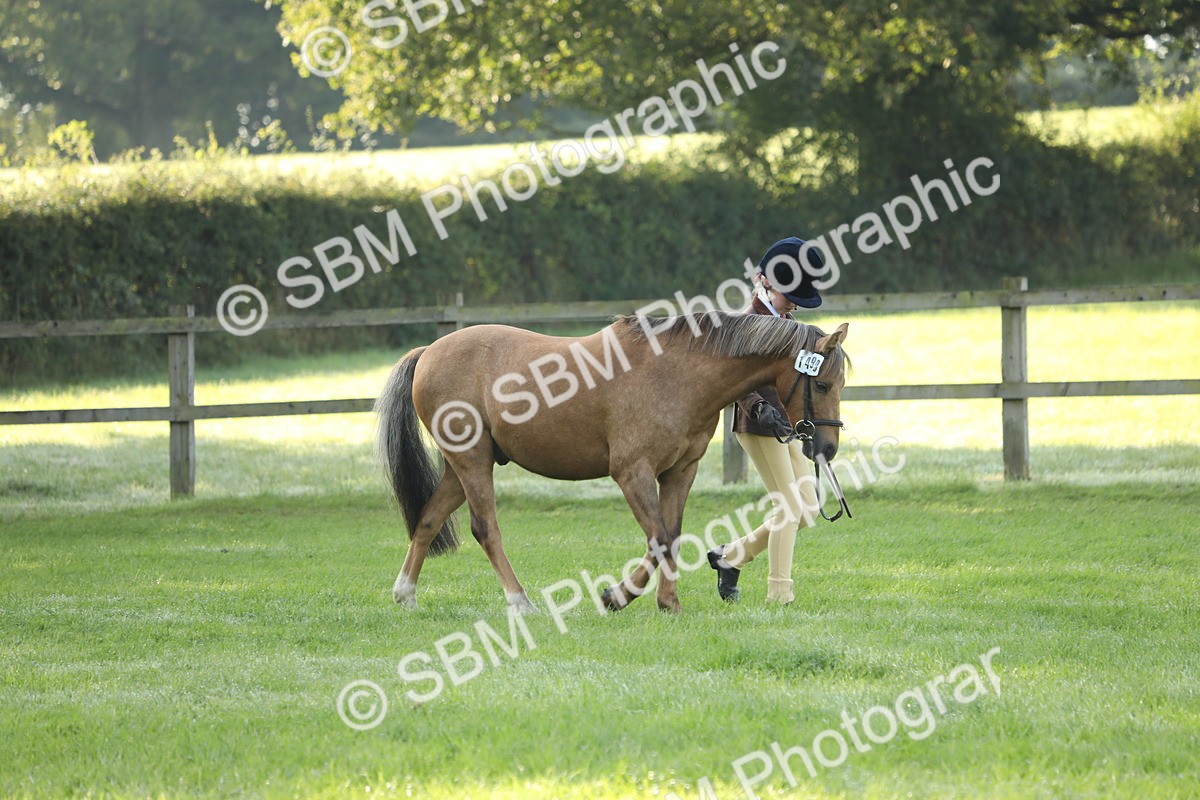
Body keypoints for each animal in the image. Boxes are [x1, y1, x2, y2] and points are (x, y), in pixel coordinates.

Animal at [374, 311, 849, 613]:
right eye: (822, 383)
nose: (826, 448)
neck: (677, 373)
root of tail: (430, 351)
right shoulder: (632, 472)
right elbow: (659, 537)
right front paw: (617, 596)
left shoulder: (680, 472)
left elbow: (672, 536)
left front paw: (668, 603)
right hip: (472, 462)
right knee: (485, 528)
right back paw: (519, 601)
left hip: (462, 467)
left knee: (427, 520)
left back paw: (405, 595)